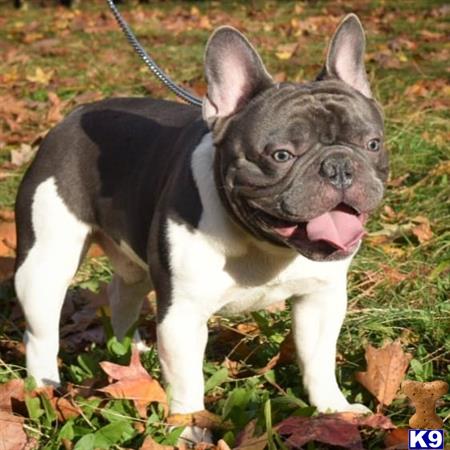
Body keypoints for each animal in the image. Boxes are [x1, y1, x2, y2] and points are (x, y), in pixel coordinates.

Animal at [14, 13, 386, 440]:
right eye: (281, 155)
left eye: (373, 144)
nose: (339, 166)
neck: (264, 244)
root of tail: (69, 118)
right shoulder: (184, 315)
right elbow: (188, 381)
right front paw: (191, 429)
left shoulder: (321, 298)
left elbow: (318, 359)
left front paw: (334, 410)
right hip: (45, 264)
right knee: (41, 332)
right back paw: (44, 390)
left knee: (123, 292)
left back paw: (130, 353)